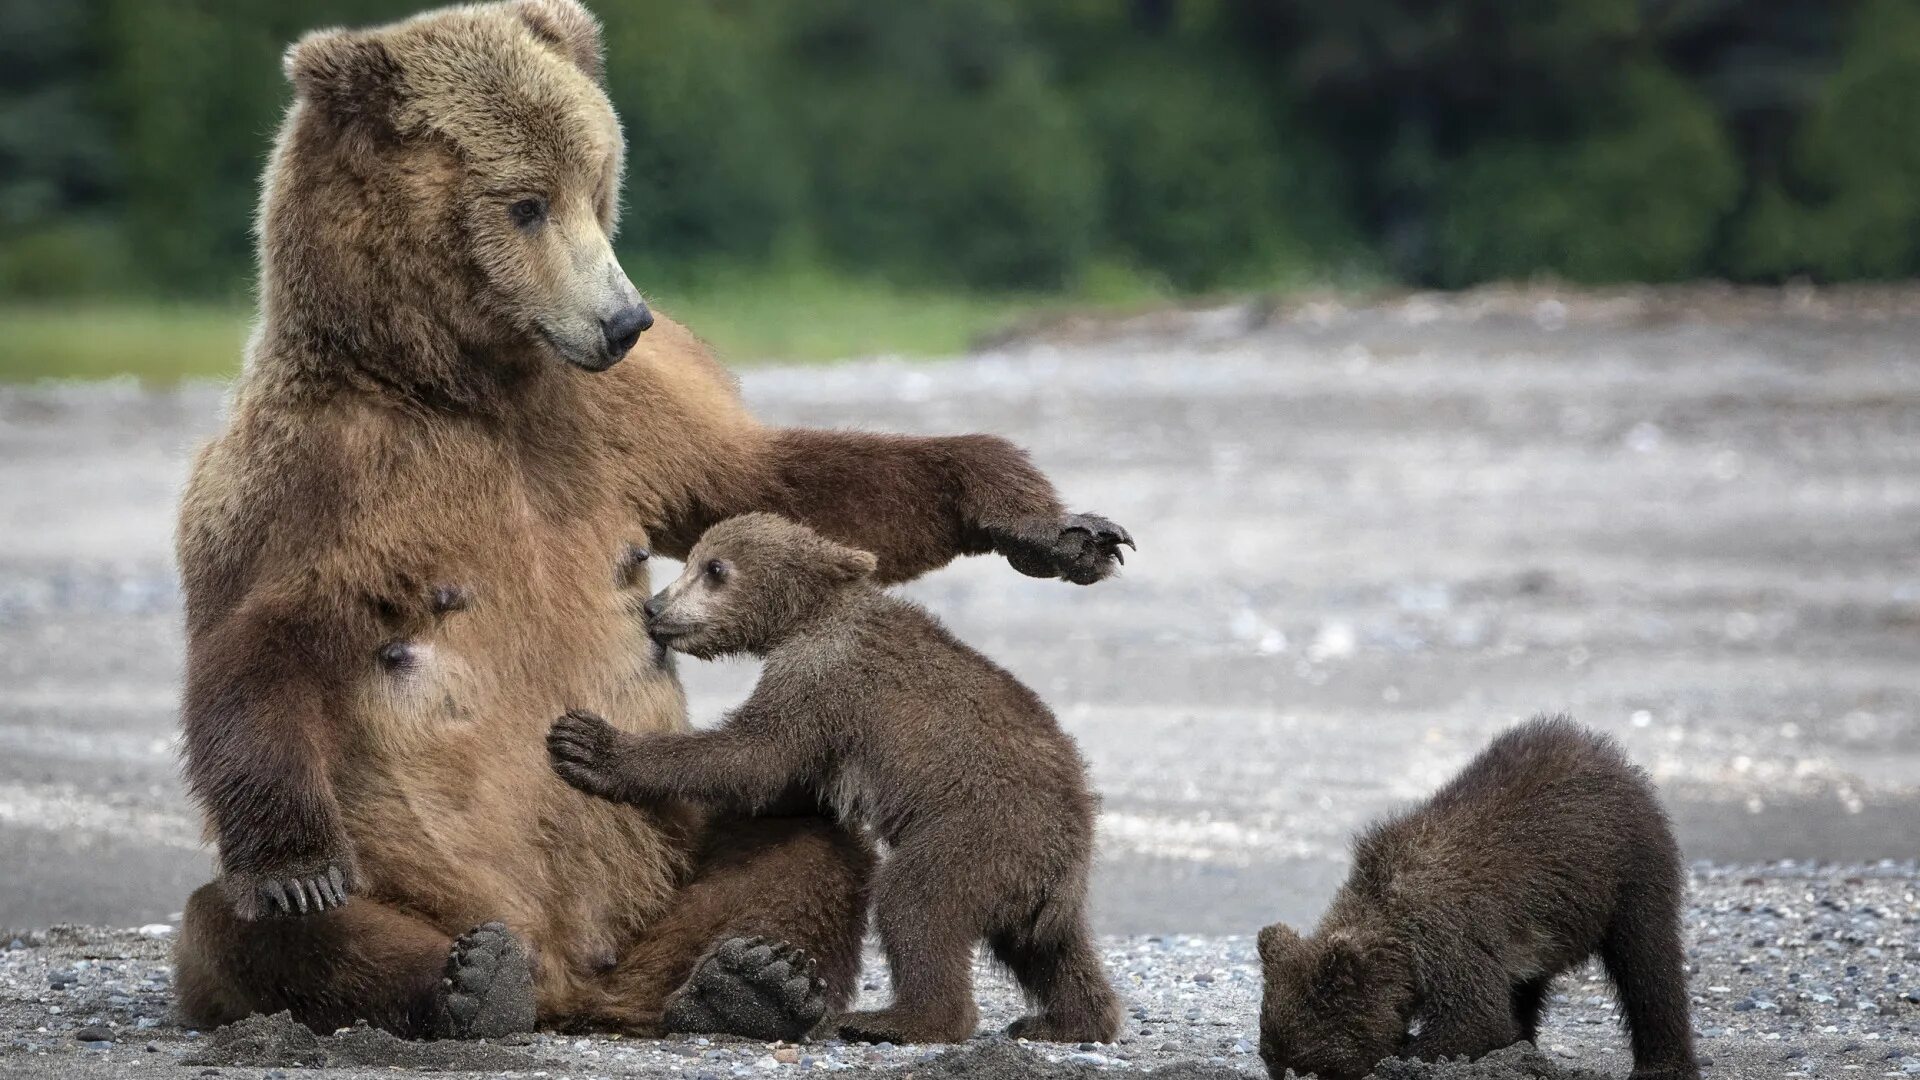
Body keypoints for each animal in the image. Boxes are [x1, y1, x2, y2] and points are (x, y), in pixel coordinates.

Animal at [549, 511, 1121, 1045]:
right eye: (693, 559)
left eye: (713, 568)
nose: (655, 607)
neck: (804, 618)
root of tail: (1070, 854)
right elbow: (782, 777)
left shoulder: (821, 678)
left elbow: (752, 755)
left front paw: (587, 744)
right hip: (1034, 881)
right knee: (1052, 951)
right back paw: (1066, 1021)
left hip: (981, 833)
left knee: (916, 902)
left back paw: (894, 1019)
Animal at [1259, 714, 1697, 1076]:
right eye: (1273, 1063)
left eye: (1312, 1068)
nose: (1284, 1065)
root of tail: (1608, 754)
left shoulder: (1449, 933)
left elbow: (1474, 1019)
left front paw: (1407, 1054)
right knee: (1527, 986)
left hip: (1629, 869)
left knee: (1648, 961)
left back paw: (1661, 1064)